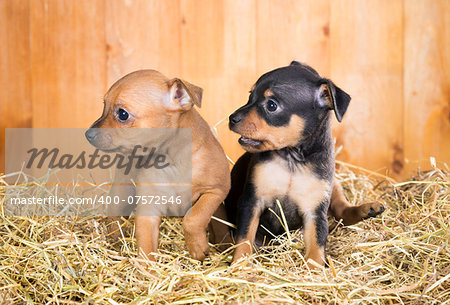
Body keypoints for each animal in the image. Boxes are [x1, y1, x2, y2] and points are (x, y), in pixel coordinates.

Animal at [85, 70, 230, 260]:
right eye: (104, 106)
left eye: (122, 114)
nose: (88, 134)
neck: (172, 161)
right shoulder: (148, 210)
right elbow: (146, 246)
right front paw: (146, 267)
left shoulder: (216, 191)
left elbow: (194, 218)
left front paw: (197, 247)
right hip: (121, 194)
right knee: (114, 218)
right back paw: (115, 241)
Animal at [227, 61, 384, 266]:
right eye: (249, 95)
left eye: (271, 105)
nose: (232, 119)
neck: (292, 160)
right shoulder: (252, 200)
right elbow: (244, 240)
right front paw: (239, 266)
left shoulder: (315, 211)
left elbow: (317, 245)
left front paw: (314, 269)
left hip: (333, 185)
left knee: (342, 210)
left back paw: (367, 209)